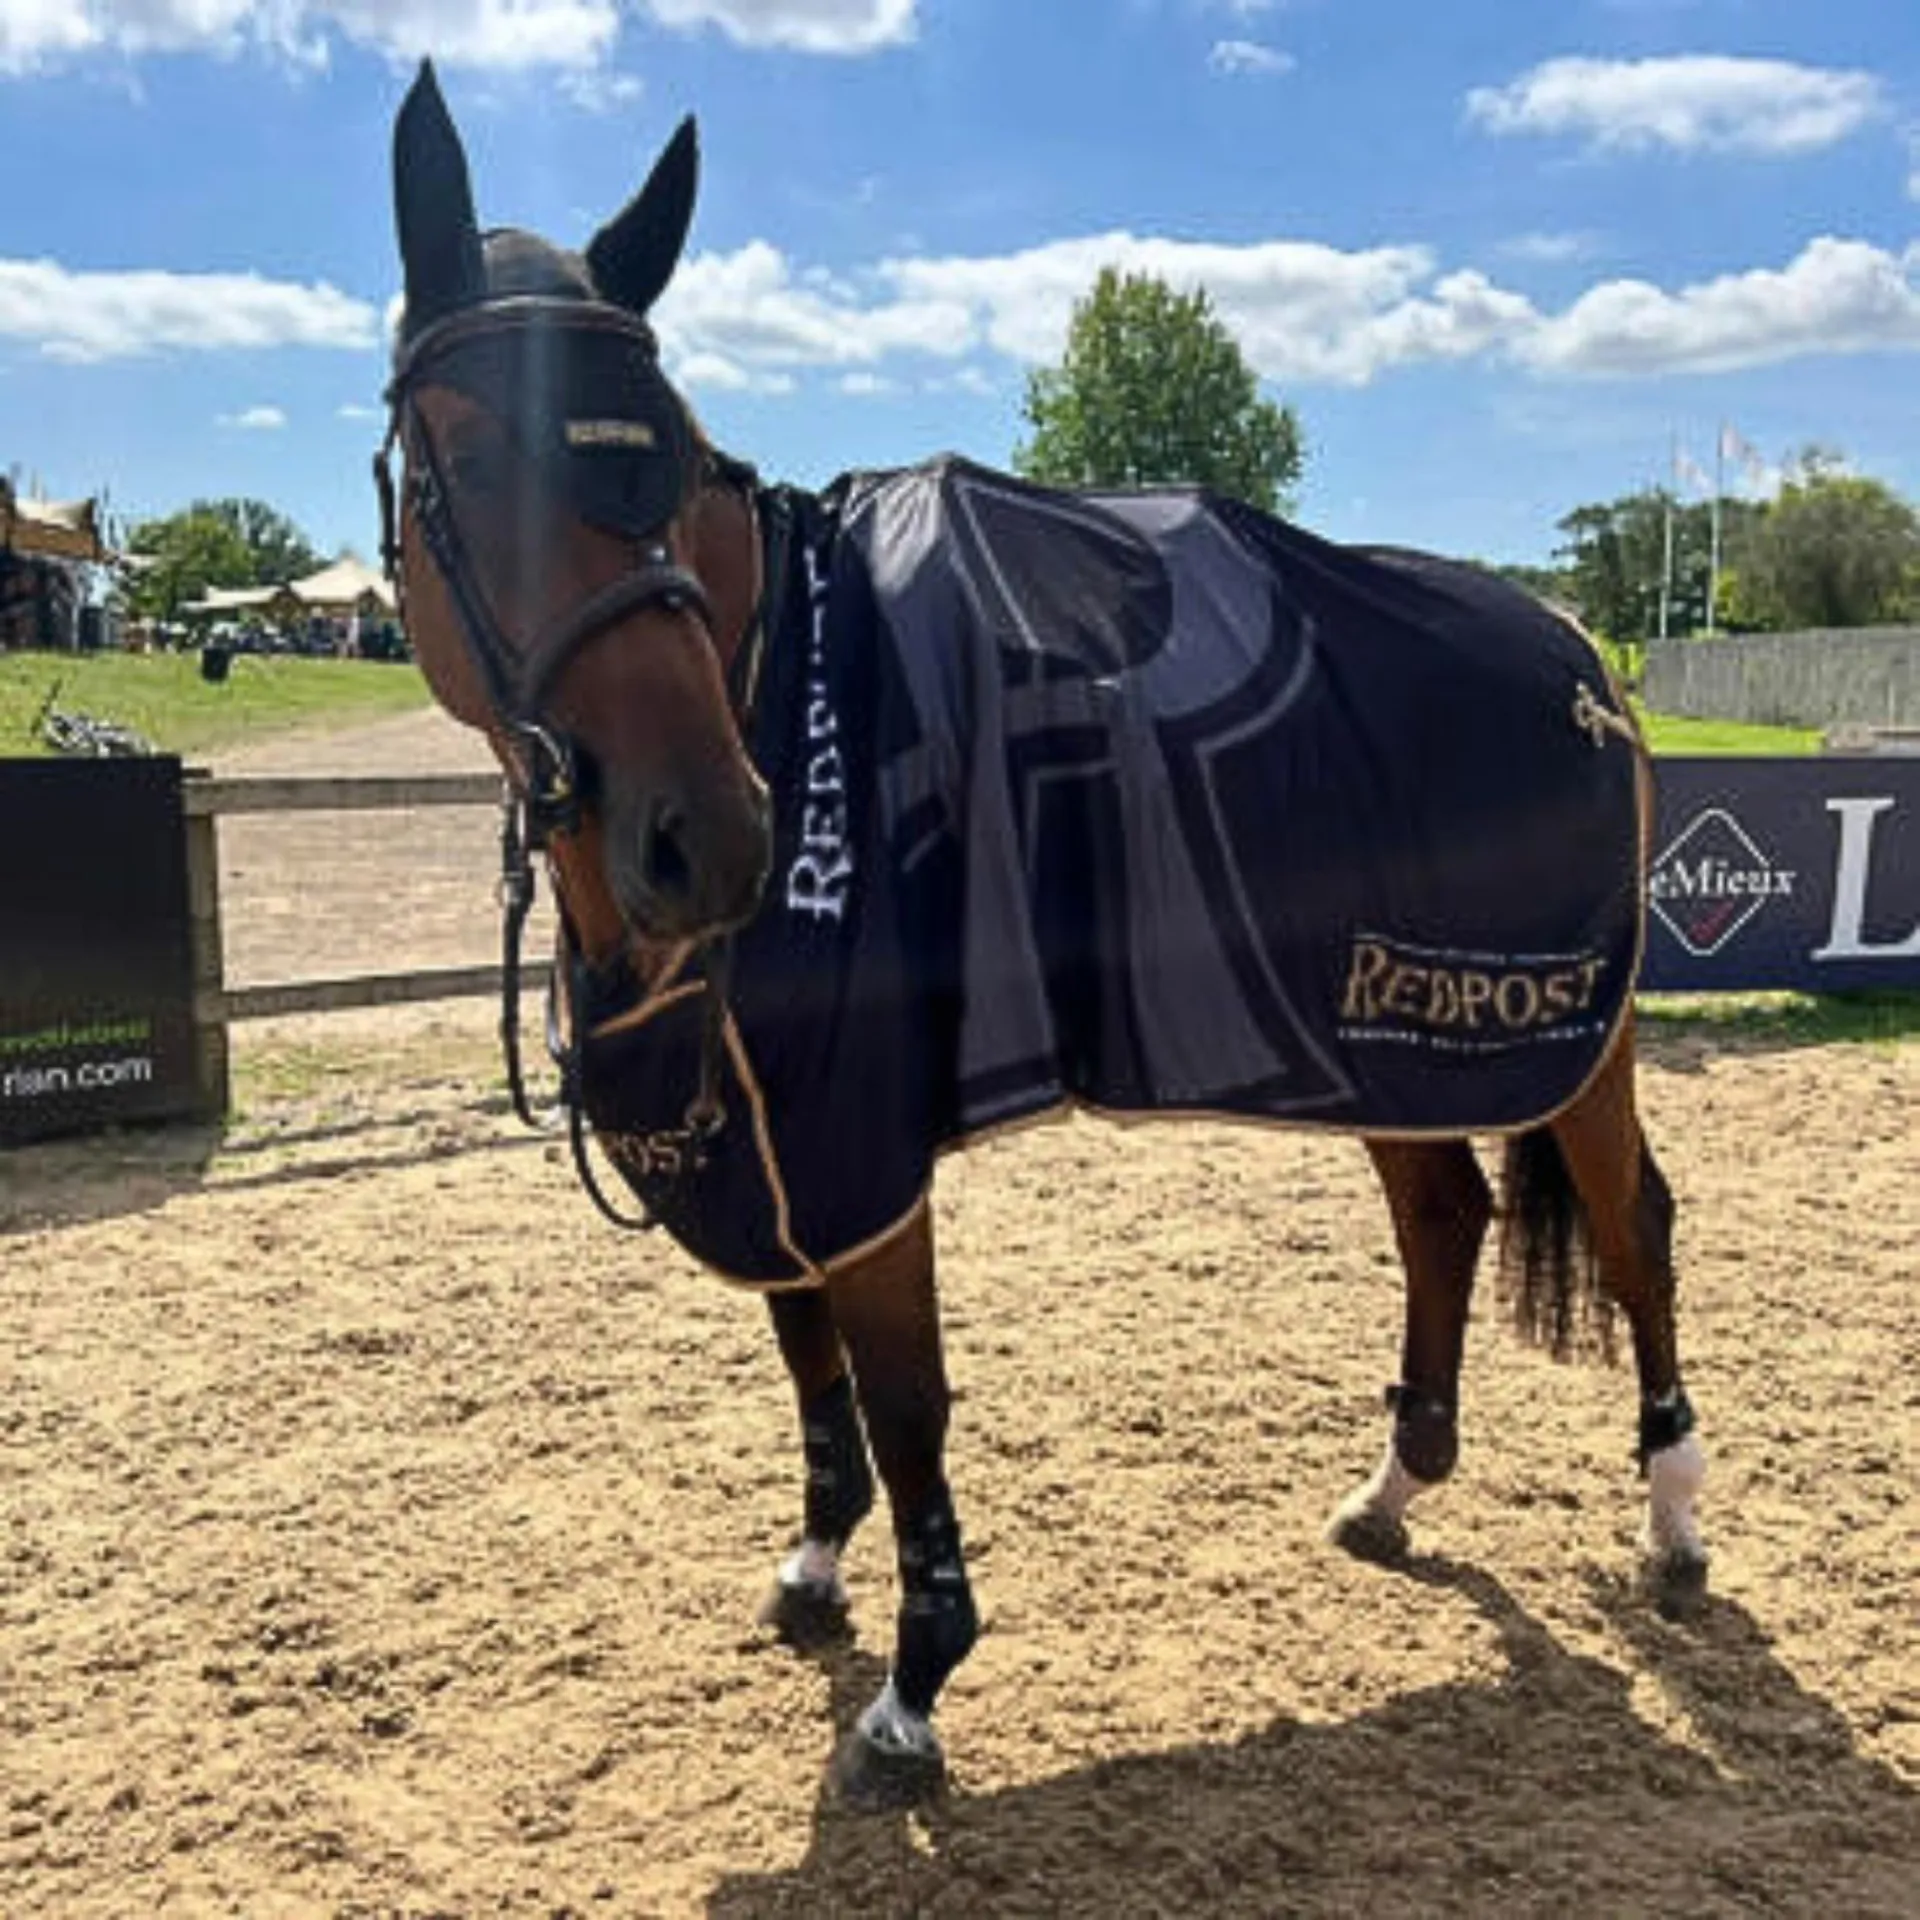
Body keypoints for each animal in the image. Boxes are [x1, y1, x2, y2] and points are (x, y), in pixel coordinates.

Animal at [382, 62, 1708, 1808]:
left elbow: (905, 1404)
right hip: (1387, 1037)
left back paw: (1674, 1517)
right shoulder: (769, 1136)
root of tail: (1578, 654)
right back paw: (1396, 1488)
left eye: (665, 459)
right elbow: (811, 1372)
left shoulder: (854, 1143)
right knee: (1444, 1218)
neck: (786, 671)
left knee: (1635, 1232)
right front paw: (817, 1565)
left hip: (1566, 1042)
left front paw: (913, 1688)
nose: (711, 836)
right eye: (466, 466)